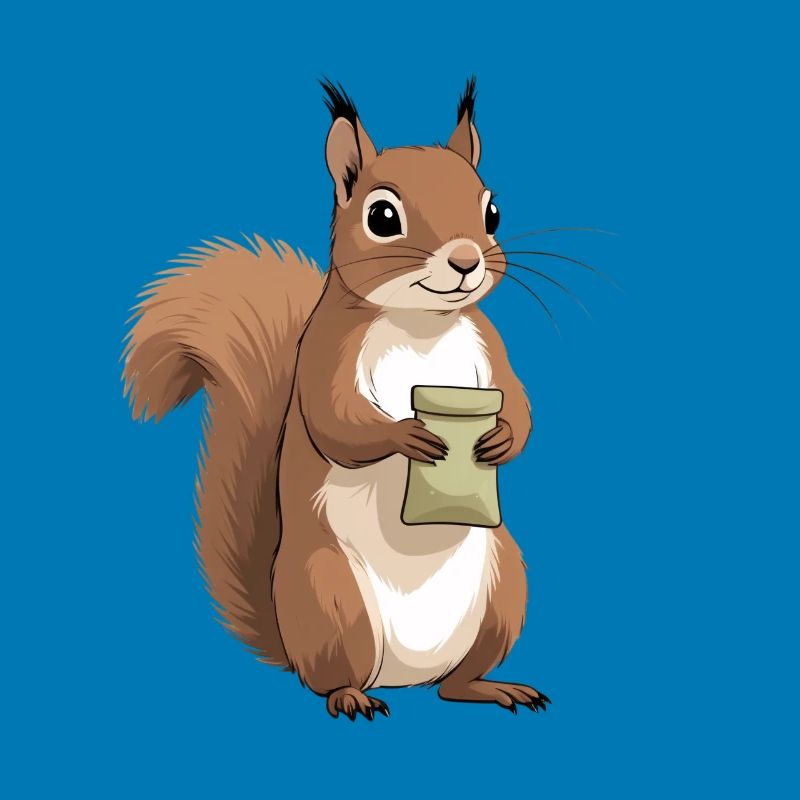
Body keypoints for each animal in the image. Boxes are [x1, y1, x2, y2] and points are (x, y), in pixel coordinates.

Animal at [122, 78, 550, 720]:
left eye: (492, 211)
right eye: (382, 216)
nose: (466, 260)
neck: (420, 322)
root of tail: (403, 679)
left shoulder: (490, 347)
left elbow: (520, 406)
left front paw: (500, 440)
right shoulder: (325, 355)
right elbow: (335, 424)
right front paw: (408, 435)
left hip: (505, 592)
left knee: (455, 684)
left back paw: (490, 687)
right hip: (329, 597)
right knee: (330, 679)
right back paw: (352, 697)